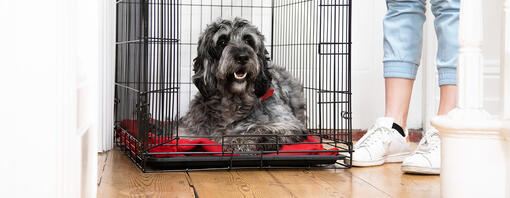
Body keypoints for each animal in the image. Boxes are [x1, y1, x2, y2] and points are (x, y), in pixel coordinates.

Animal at [179, 18, 306, 152]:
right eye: (222, 41)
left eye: (248, 40)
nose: (243, 57)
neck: (233, 100)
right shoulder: (189, 130)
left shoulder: (287, 123)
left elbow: (258, 129)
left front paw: (239, 141)